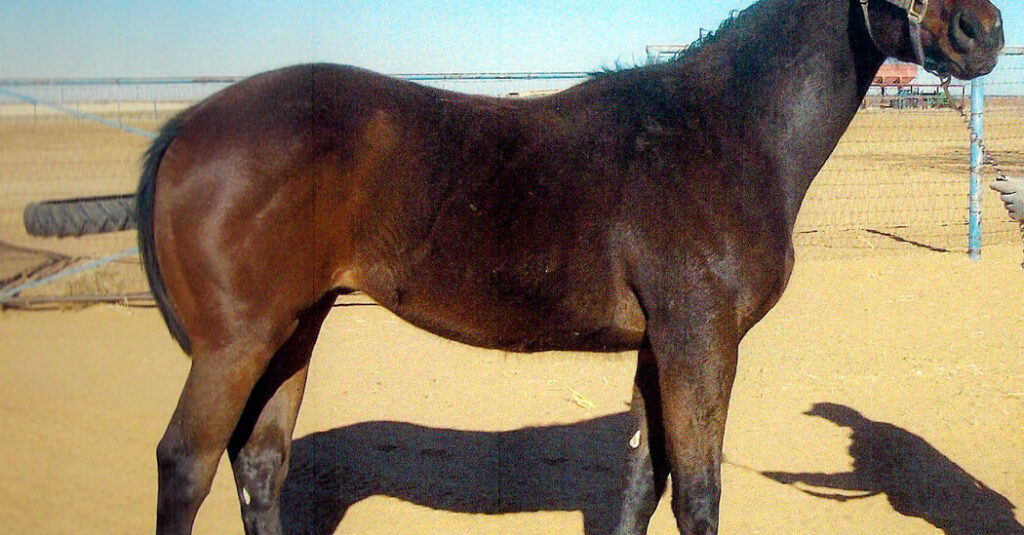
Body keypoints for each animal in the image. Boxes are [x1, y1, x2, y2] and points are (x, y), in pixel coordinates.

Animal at [136, 0, 1003, 533]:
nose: (984, 29)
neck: (727, 130)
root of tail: (187, 126)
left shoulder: (662, 347)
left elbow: (641, 481)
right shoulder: (700, 342)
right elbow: (696, 492)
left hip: (293, 329)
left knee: (259, 464)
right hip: (235, 343)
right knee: (186, 465)